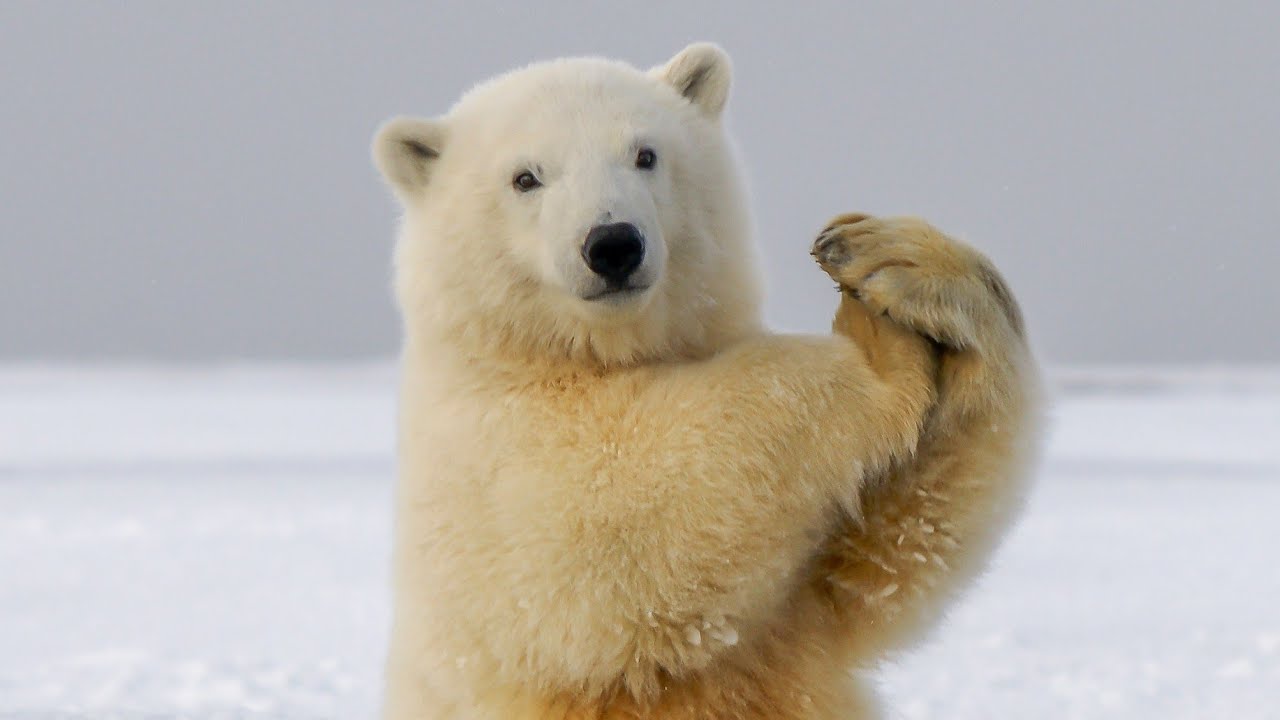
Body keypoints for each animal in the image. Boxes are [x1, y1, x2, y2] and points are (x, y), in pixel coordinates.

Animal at [372, 42, 1040, 720]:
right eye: (525, 177)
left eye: (645, 154)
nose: (613, 244)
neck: (588, 353)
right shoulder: (486, 459)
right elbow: (612, 525)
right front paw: (878, 355)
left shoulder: (793, 619)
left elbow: (888, 547)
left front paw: (892, 258)